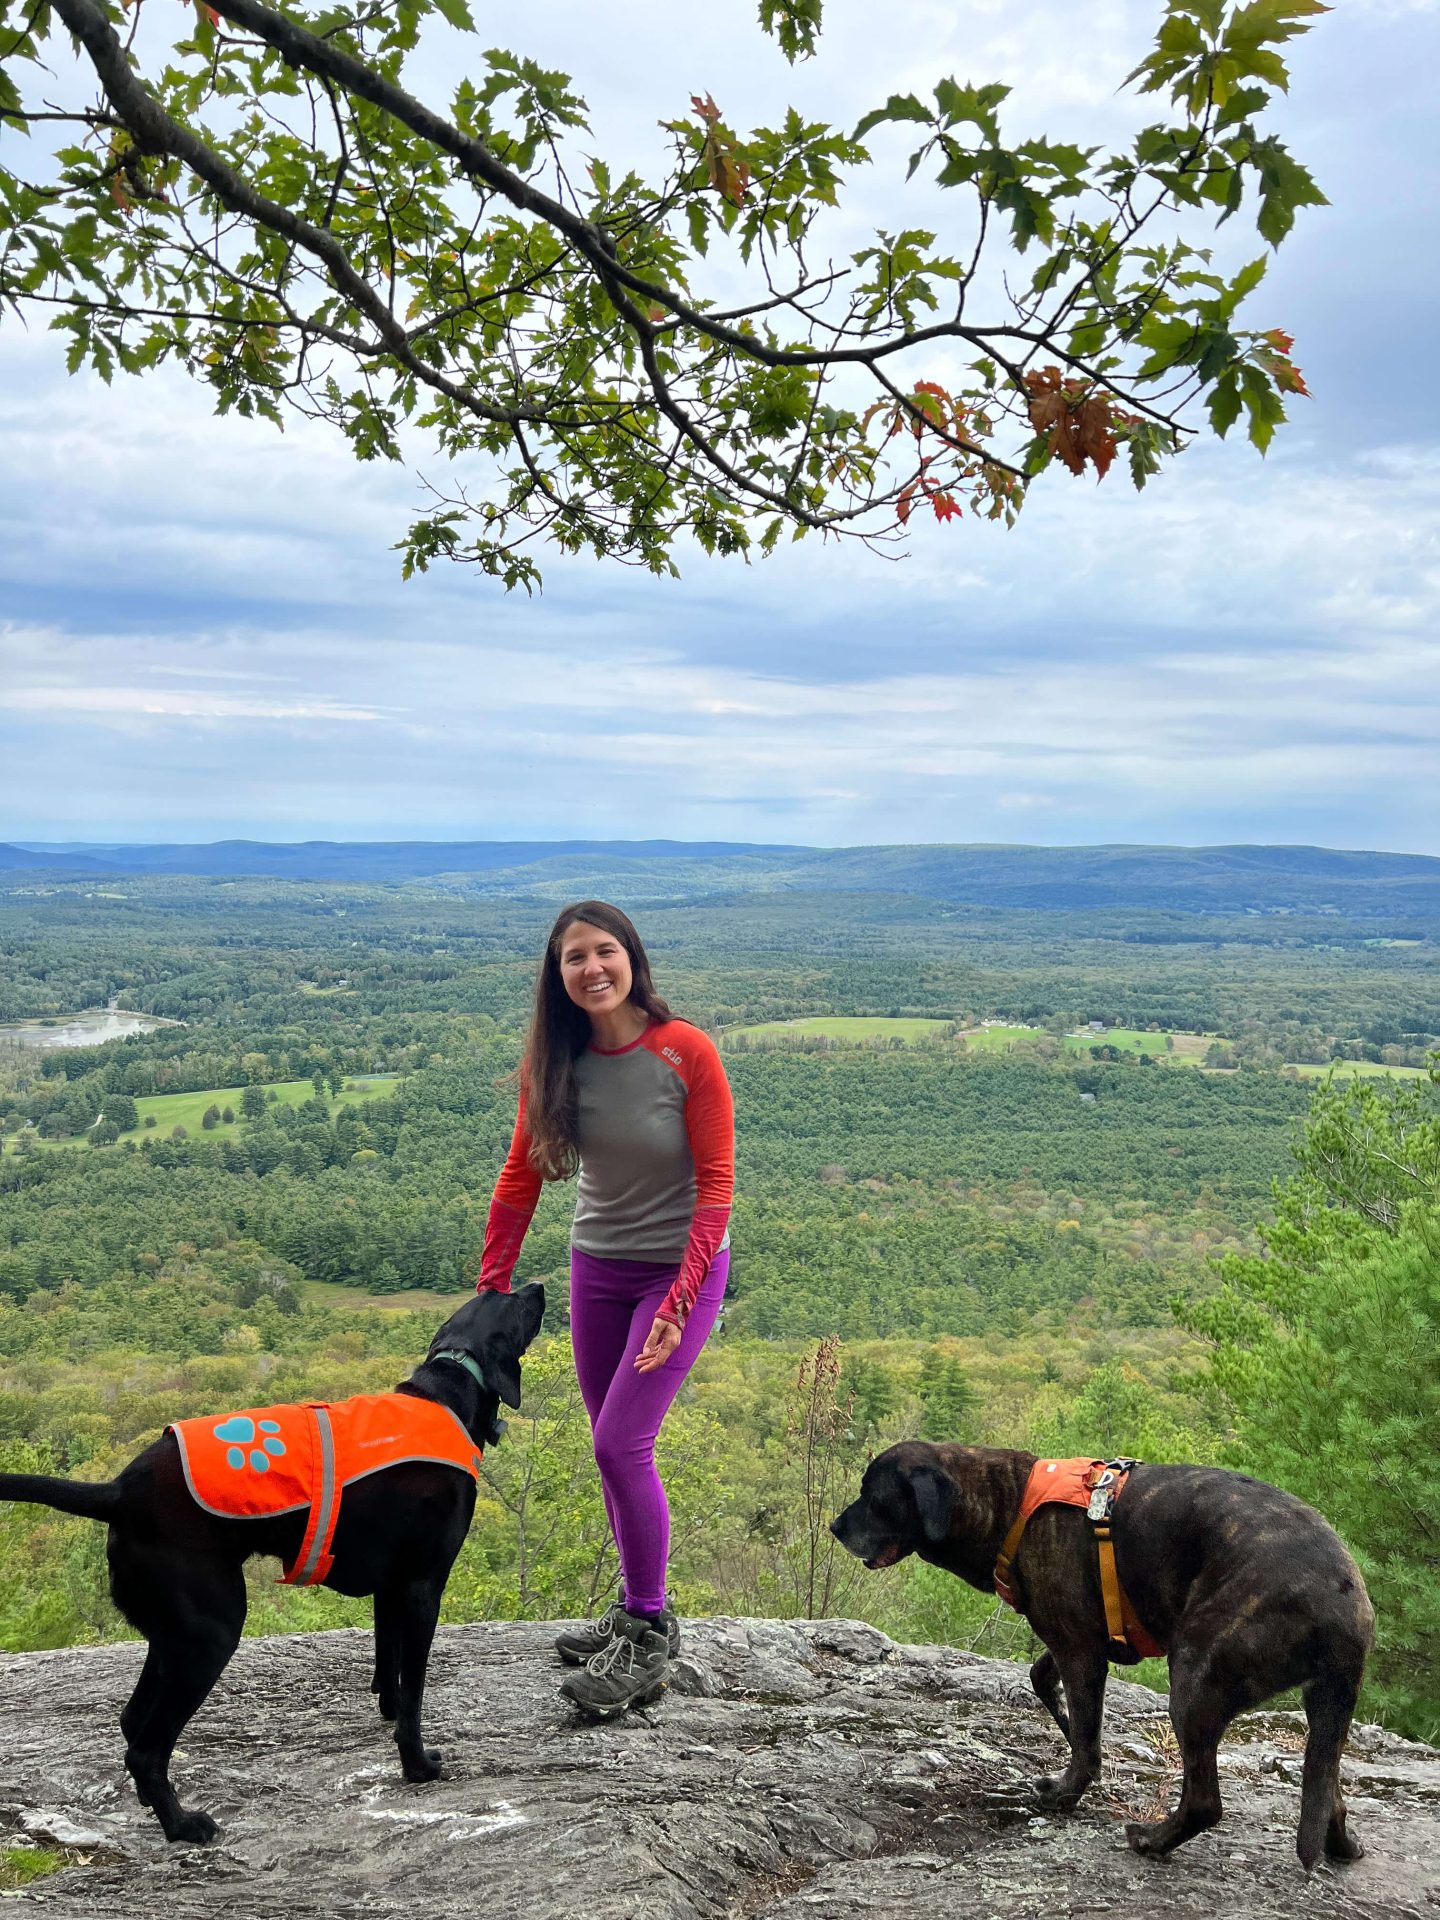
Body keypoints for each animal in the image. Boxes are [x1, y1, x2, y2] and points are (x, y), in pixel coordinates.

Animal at [0, 1282, 545, 1835]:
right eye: (515, 1303)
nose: (538, 1286)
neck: (449, 1388)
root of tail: (118, 1492)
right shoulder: (421, 1589)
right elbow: (413, 1693)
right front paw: (417, 1766)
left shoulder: (390, 1590)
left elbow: (387, 1666)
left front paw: (387, 1713)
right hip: (211, 1632)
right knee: (147, 1748)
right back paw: (183, 1825)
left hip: (174, 1635)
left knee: (132, 1723)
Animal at [833, 1443, 1374, 1866]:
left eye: (872, 1496)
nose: (836, 1526)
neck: (1008, 1503)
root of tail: (1344, 1605)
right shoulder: (1074, 1639)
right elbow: (1044, 1681)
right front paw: (1065, 1729)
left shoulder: (1079, 1650)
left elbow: (1086, 1742)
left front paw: (1066, 1792)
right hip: (1323, 1709)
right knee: (1326, 1785)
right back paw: (1340, 1842)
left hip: (1195, 1679)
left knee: (1205, 1801)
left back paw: (1153, 1840)